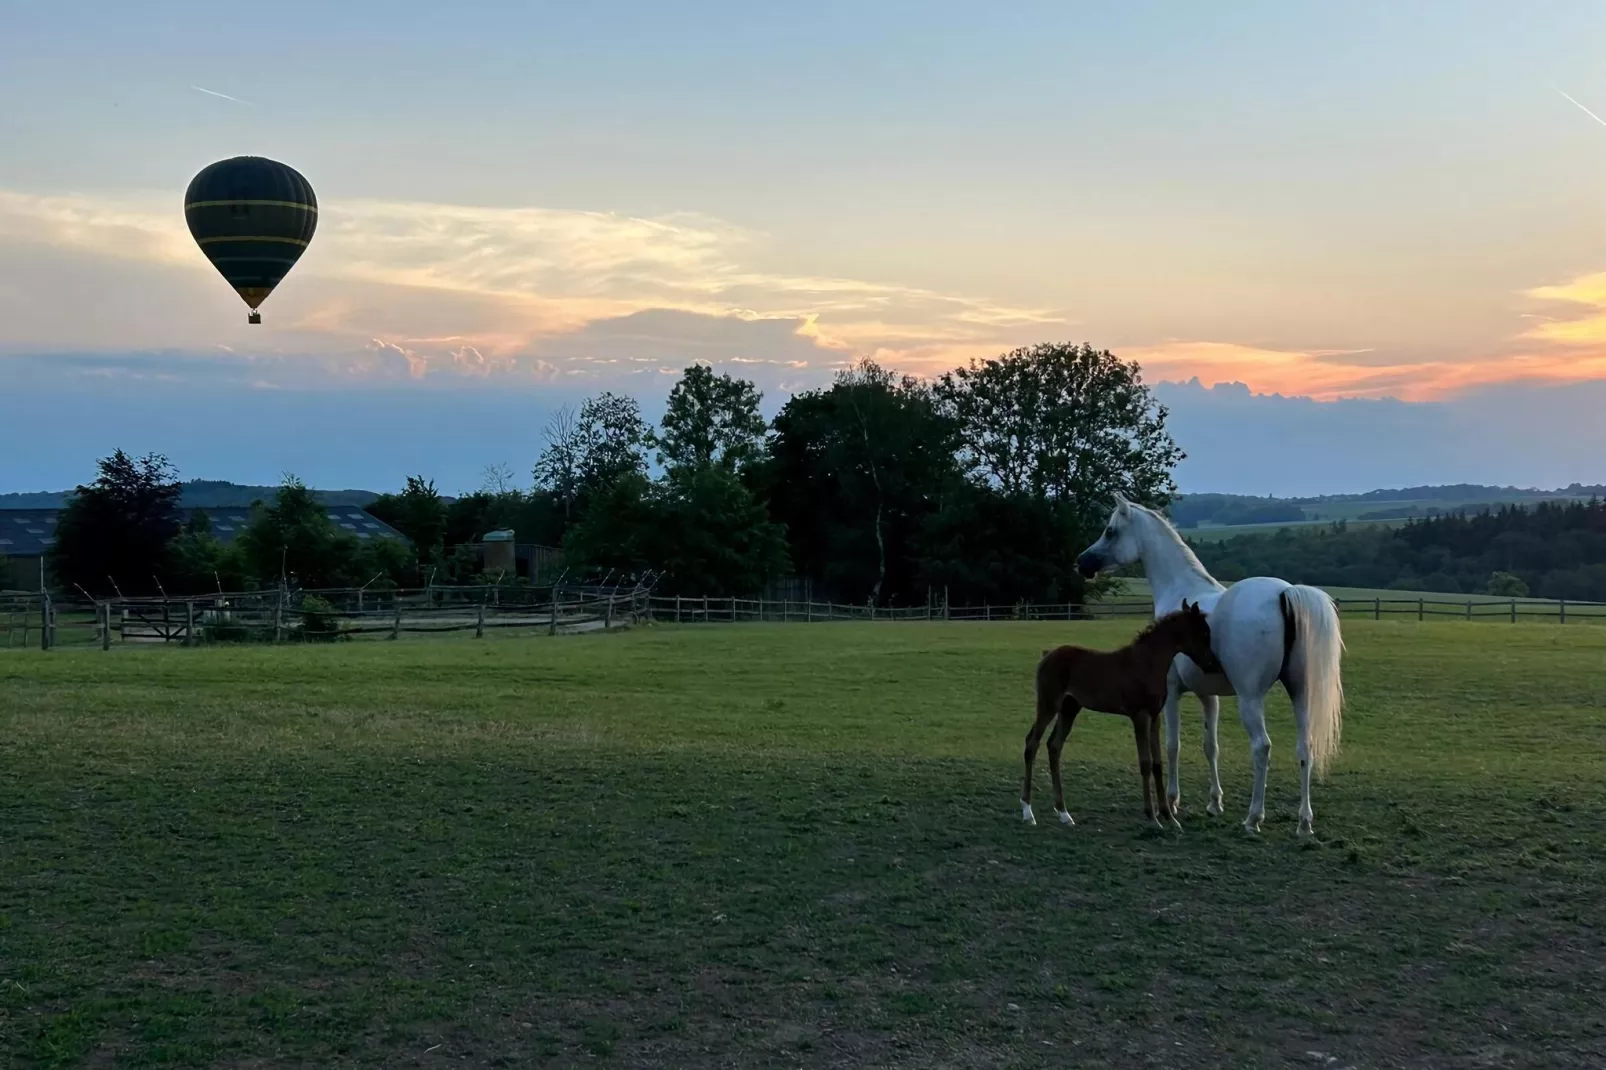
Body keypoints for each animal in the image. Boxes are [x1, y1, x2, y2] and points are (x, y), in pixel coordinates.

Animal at [1021, 600, 1207, 822]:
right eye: (1203, 633)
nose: (1212, 664)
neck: (1146, 664)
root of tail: (1047, 654)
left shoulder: (1155, 717)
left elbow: (1157, 763)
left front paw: (1168, 815)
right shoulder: (1139, 715)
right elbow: (1145, 762)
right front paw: (1152, 816)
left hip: (1069, 709)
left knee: (1054, 746)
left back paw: (1064, 813)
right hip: (1048, 704)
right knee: (1032, 743)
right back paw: (1028, 811)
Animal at [1072, 491, 1349, 835]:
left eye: (1110, 531)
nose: (1082, 563)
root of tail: (1285, 592)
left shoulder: (1171, 692)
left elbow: (1172, 745)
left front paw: (1173, 802)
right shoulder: (1209, 696)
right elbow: (1210, 746)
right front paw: (1214, 803)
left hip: (1251, 699)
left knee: (1262, 747)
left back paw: (1253, 818)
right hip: (1299, 692)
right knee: (1304, 748)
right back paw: (1304, 822)